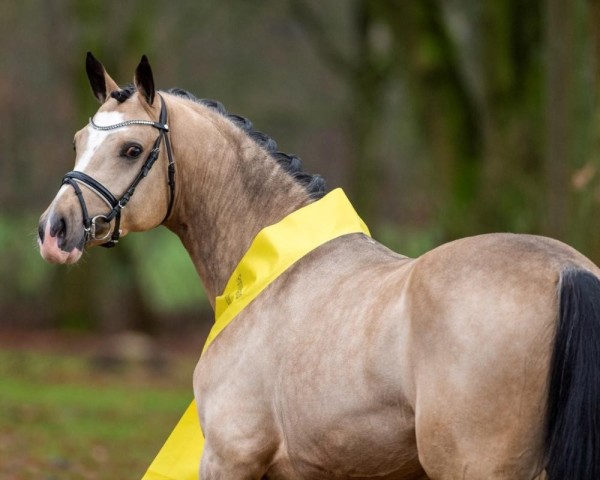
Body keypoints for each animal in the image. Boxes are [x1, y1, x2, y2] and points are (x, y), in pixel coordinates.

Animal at [38, 53, 600, 480]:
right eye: (77, 142)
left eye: (131, 149)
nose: (54, 230)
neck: (268, 273)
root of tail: (564, 270)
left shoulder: (229, 459)